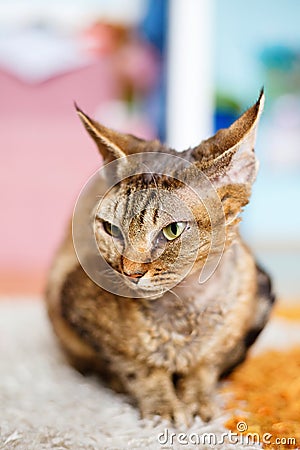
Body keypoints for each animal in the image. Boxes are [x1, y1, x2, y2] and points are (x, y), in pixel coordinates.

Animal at [45, 91, 274, 426]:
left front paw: (199, 400)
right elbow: (138, 367)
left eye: (172, 230)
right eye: (112, 229)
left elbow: (206, 365)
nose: (130, 271)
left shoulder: (230, 332)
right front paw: (162, 405)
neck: (183, 310)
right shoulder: (72, 300)